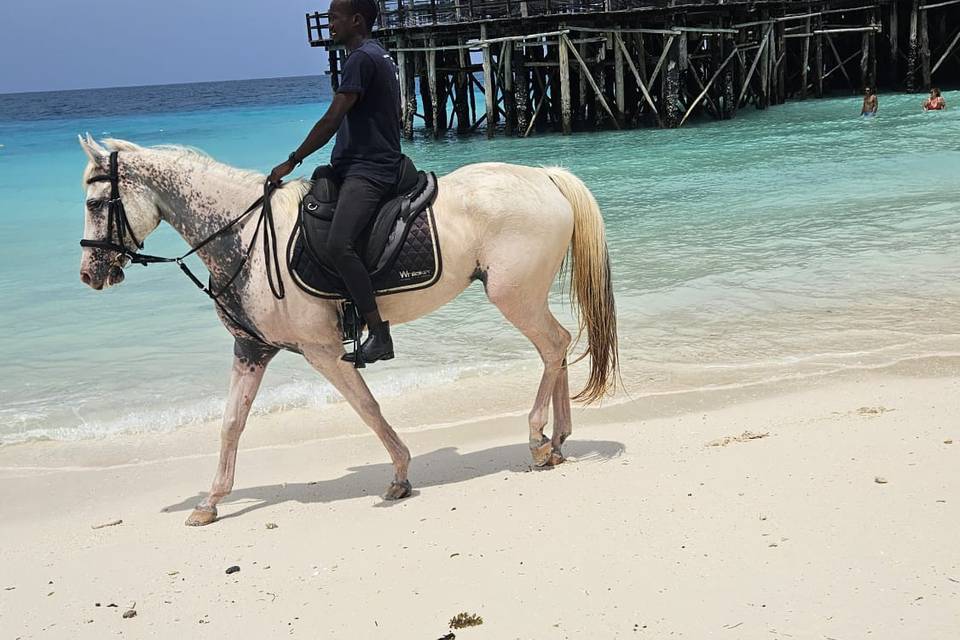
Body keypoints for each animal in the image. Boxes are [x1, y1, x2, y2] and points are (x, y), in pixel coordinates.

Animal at [77, 135, 618, 526]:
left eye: (97, 203)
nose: (88, 274)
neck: (243, 236)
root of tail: (545, 177)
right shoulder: (251, 348)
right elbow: (231, 423)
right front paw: (210, 501)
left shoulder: (322, 351)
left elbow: (367, 408)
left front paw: (400, 473)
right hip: (523, 296)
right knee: (558, 346)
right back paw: (558, 439)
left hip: (514, 296)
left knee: (552, 346)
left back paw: (538, 438)